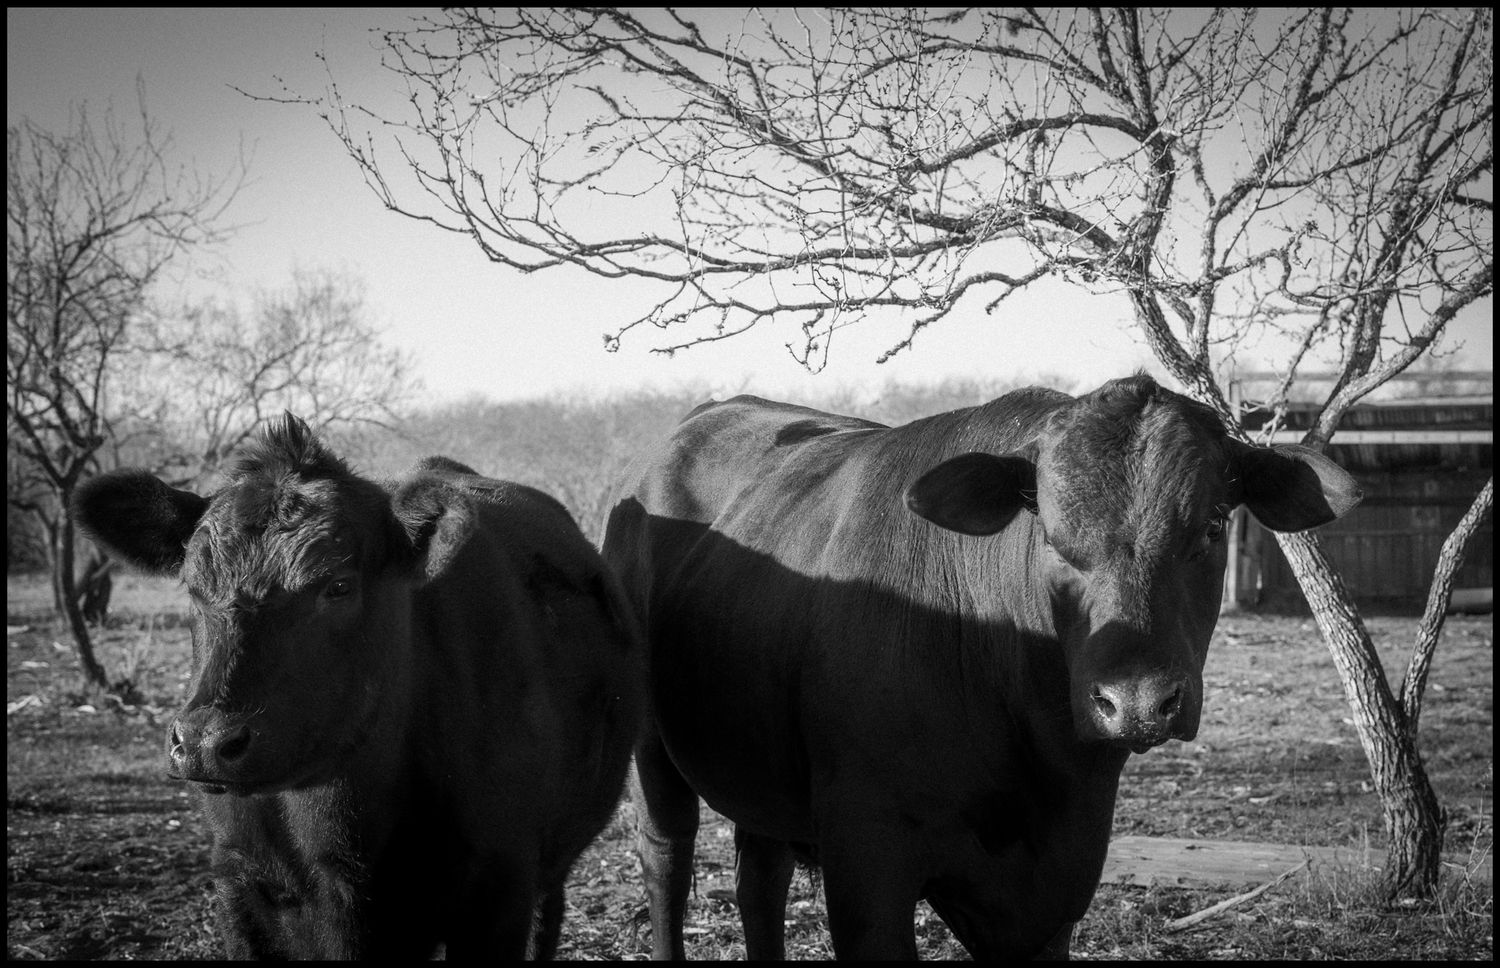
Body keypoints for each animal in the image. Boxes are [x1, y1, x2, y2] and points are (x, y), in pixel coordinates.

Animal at [602, 374, 1361, 960]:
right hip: (652, 754)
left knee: (759, 880)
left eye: (1211, 528)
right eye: (1051, 536)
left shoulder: (1056, 890)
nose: (1138, 701)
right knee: (665, 860)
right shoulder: (866, 868)